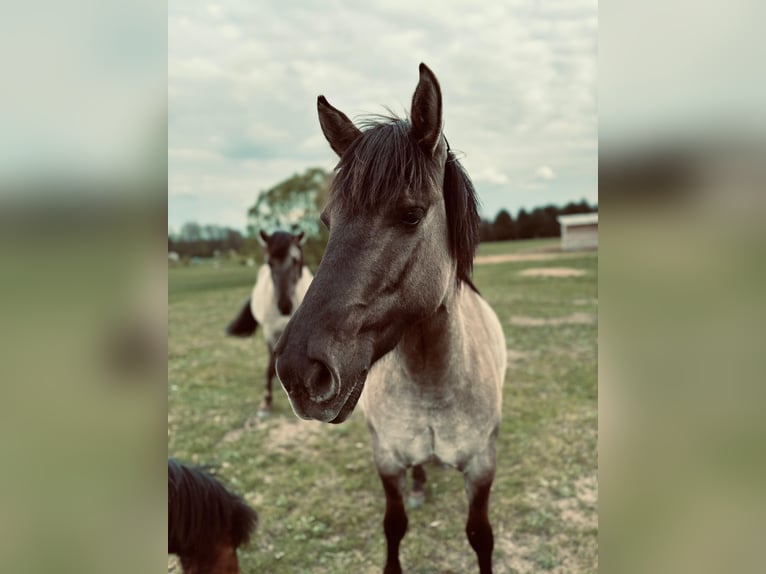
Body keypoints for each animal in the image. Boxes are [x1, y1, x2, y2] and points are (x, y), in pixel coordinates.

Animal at [226, 230, 313, 414]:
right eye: (269, 263)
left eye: (295, 260)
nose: (284, 305)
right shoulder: (270, 333)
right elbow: (269, 366)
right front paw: (267, 401)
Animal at [274, 64, 507, 573]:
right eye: (328, 221)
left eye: (412, 214)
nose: (299, 371)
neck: (432, 383)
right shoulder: (385, 459)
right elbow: (394, 526)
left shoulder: (482, 468)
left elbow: (480, 535)